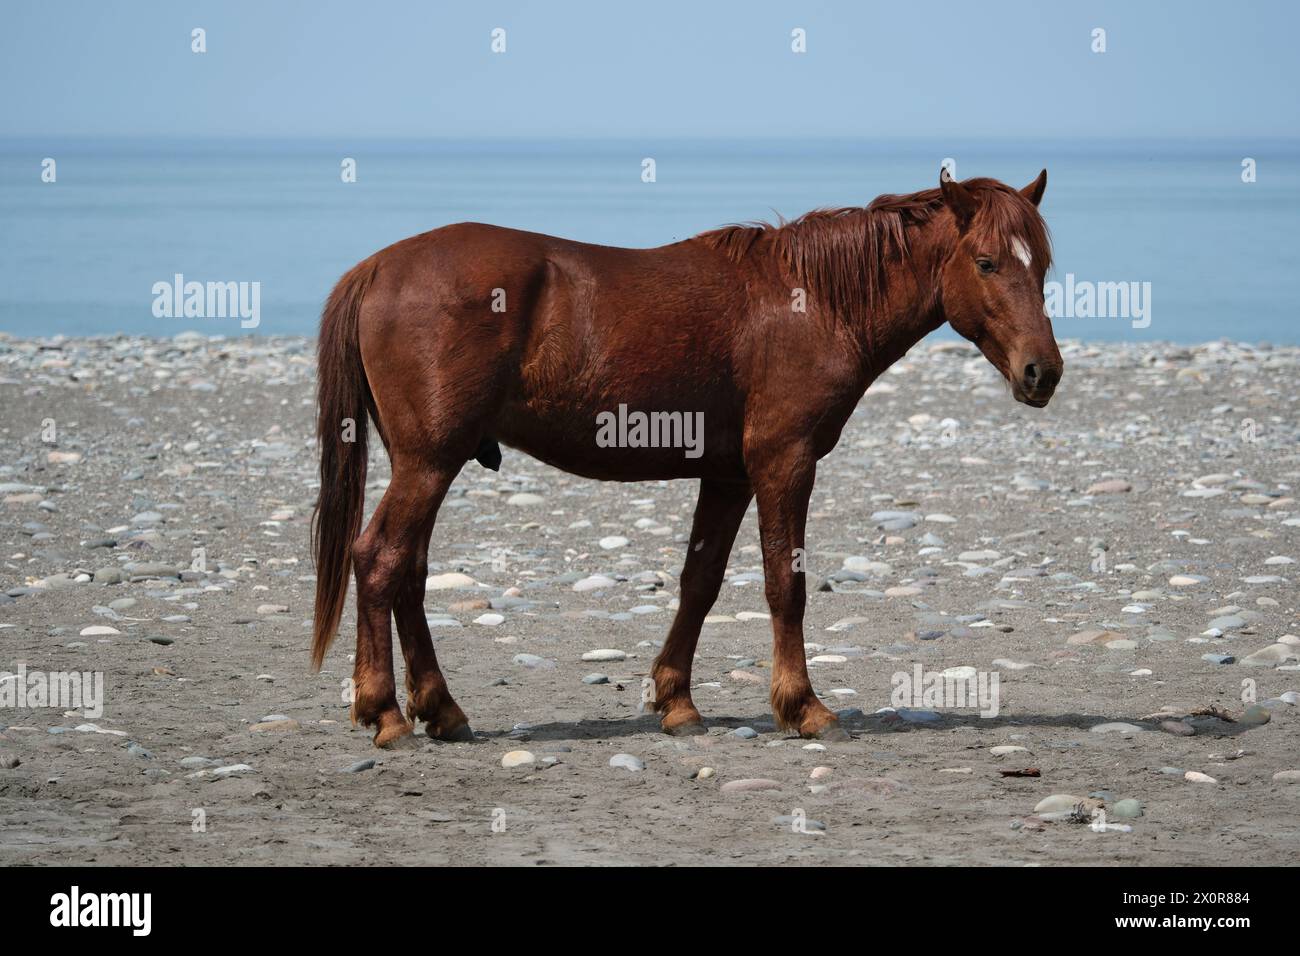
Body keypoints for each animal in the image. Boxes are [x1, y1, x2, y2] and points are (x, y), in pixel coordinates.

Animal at [309, 174, 1060, 754]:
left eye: (1043, 265)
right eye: (987, 262)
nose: (1042, 372)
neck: (811, 302)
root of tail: (378, 268)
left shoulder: (728, 475)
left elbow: (700, 583)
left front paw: (677, 701)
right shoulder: (784, 462)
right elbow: (785, 585)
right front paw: (804, 707)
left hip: (430, 465)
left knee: (407, 572)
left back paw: (441, 709)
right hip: (429, 463)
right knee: (379, 559)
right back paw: (386, 714)